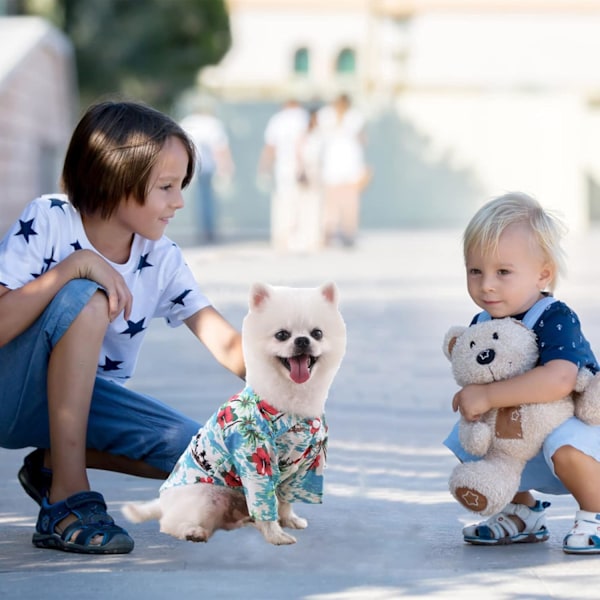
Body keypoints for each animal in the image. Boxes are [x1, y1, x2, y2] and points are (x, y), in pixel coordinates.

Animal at [122, 282, 344, 544]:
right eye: (282, 335)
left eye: (317, 333)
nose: (302, 340)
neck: (289, 403)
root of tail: (164, 502)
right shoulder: (256, 461)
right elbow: (266, 504)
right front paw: (275, 535)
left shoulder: (305, 467)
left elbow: (286, 500)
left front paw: (289, 520)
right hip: (206, 494)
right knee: (170, 523)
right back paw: (192, 531)